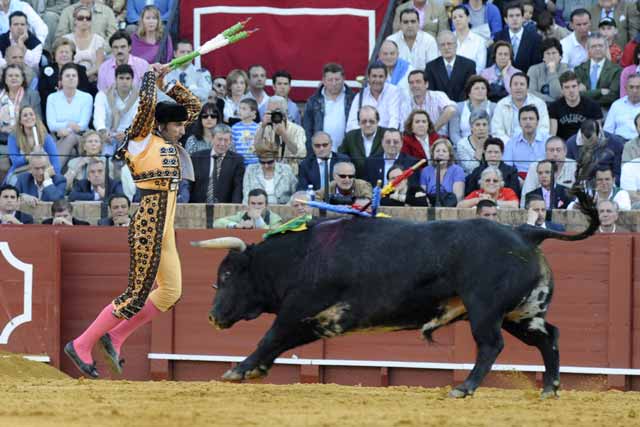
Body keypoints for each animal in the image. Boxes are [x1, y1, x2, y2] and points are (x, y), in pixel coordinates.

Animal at [194, 192, 600, 400]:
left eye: (226, 275)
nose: (211, 316)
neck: (299, 255)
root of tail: (525, 232)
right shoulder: (324, 320)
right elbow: (280, 342)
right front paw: (254, 370)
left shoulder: (299, 308)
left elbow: (271, 336)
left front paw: (238, 369)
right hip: (520, 313)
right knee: (549, 337)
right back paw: (550, 389)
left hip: (485, 308)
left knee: (491, 345)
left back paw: (464, 388)